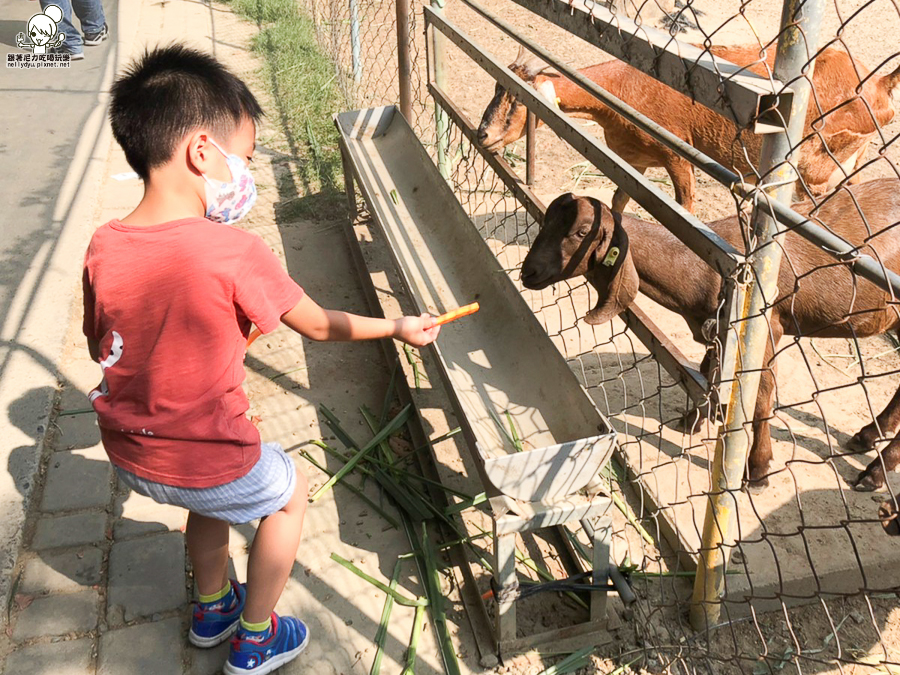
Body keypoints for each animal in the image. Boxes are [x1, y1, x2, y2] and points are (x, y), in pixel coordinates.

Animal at [478, 46, 900, 214]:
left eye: (516, 100)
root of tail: (881, 86)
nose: (483, 135)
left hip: (818, 167)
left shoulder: (677, 155)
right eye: (496, 87)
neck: (622, 89)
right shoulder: (636, 160)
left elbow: (686, 206)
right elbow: (618, 200)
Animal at [520, 181, 900, 492]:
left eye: (582, 231)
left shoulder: (766, 328)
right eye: (547, 223)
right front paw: (695, 420)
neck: (703, 270)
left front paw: (757, 470)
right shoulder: (717, 329)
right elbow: (710, 372)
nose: (529, 272)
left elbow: (761, 399)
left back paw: (875, 473)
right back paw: (868, 435)